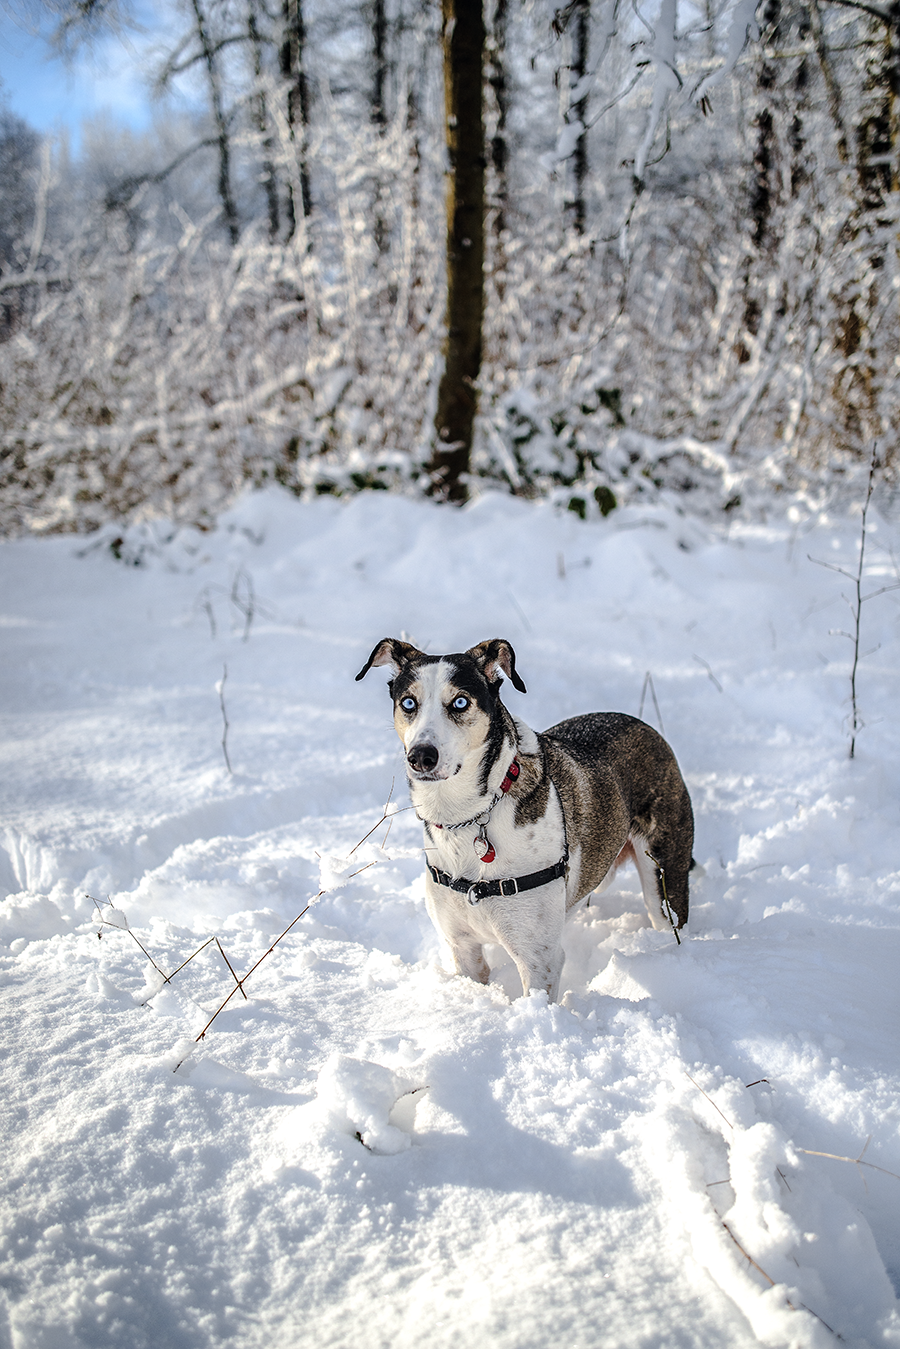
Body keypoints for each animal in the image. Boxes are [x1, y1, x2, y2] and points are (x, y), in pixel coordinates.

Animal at [356, 634, 696, 1003]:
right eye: (408, 703)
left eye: (460, 702)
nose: (421, 756)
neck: (468, 815)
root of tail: (645, 726)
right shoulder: (462, 947)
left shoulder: (538, 959)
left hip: (663, 875)